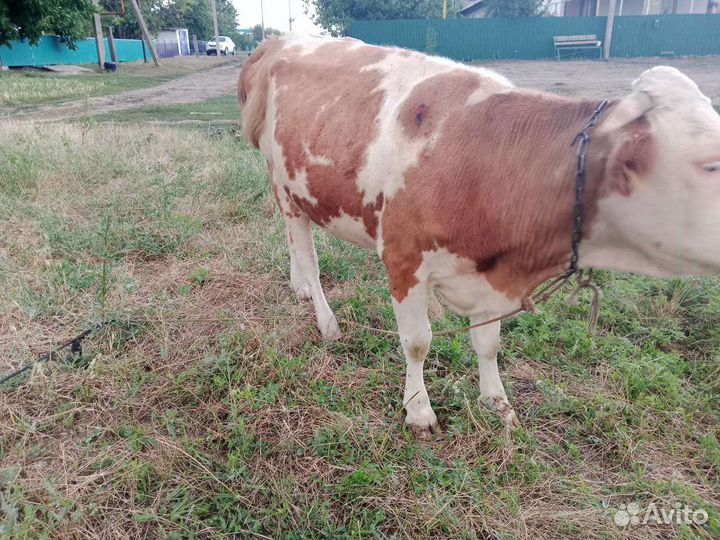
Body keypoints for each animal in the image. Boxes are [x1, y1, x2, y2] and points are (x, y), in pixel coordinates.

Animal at [238, 34, 720, 434]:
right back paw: (326, 319)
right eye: (711, 163)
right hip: (287, 183)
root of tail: (280, 39)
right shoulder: (404, 257)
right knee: (309, 255)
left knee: (293, 242)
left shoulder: (493, 277)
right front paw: (419, 411)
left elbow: (488, 344)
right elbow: (417, 342)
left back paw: (298, 285)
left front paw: (498, 403)